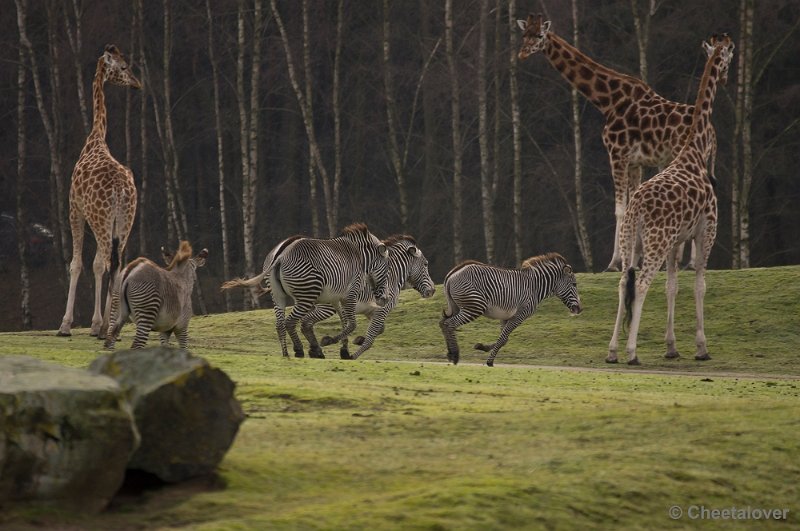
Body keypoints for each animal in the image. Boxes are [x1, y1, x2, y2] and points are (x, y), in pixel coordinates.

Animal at [57, 44, 141, 336]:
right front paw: (97, 321)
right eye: (124, 66)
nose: (137, 83)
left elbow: (78, 264)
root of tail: (121, 191)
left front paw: (67, 324)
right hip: (124, 221)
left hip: (102, 219)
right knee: (117, 264)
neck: (95, 138)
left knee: (107, 262)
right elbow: (96, 265)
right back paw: (109, 324)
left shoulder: (75, 208)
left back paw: (103, 326)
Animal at [302, 237, 438, 362]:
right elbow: (371, 338)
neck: (393, 276)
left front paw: (358, 340)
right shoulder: (382, 309)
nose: (433, 291)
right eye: (426, 264)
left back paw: (315, 350)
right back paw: (316, 350)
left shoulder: (371, 311)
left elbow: (380, 329)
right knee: (307, 321)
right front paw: (352, 355)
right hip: (327, 306)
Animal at [438, 252, 580, 366]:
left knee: (443, 323)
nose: (579, 309)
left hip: (457, 307)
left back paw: (450, 354)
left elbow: (504, 339)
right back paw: (455, 355)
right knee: (449, 324)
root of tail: (452, 273)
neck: (535, 287)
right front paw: (490, 361)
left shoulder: (506, 317)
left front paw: (481, 347)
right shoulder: (519, 315)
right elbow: (502, 338)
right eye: (574, 284)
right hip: (475, 307)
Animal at [520, 14, 720, 272]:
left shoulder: (617, 154)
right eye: (524, 34)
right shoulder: (635, 162)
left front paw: (614, 262)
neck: (607, 101)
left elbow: (619, 210)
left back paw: (689, 262)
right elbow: (630, 206)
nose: (522, 53)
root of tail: (712, 132)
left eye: (539, 35)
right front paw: (634, 259)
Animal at [608, 32, 736, 366]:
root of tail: (637, 208)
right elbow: (700, 285)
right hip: (656, 240)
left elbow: (672, 286)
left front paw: (672, 347)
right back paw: (631, 352)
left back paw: (612, 351)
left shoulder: (677, 240)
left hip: (631, 240)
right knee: (640, 283)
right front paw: (702, 347)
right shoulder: (706, 231)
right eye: (730, 54)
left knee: (623, 282)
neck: (695, 150)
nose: (727, 77)